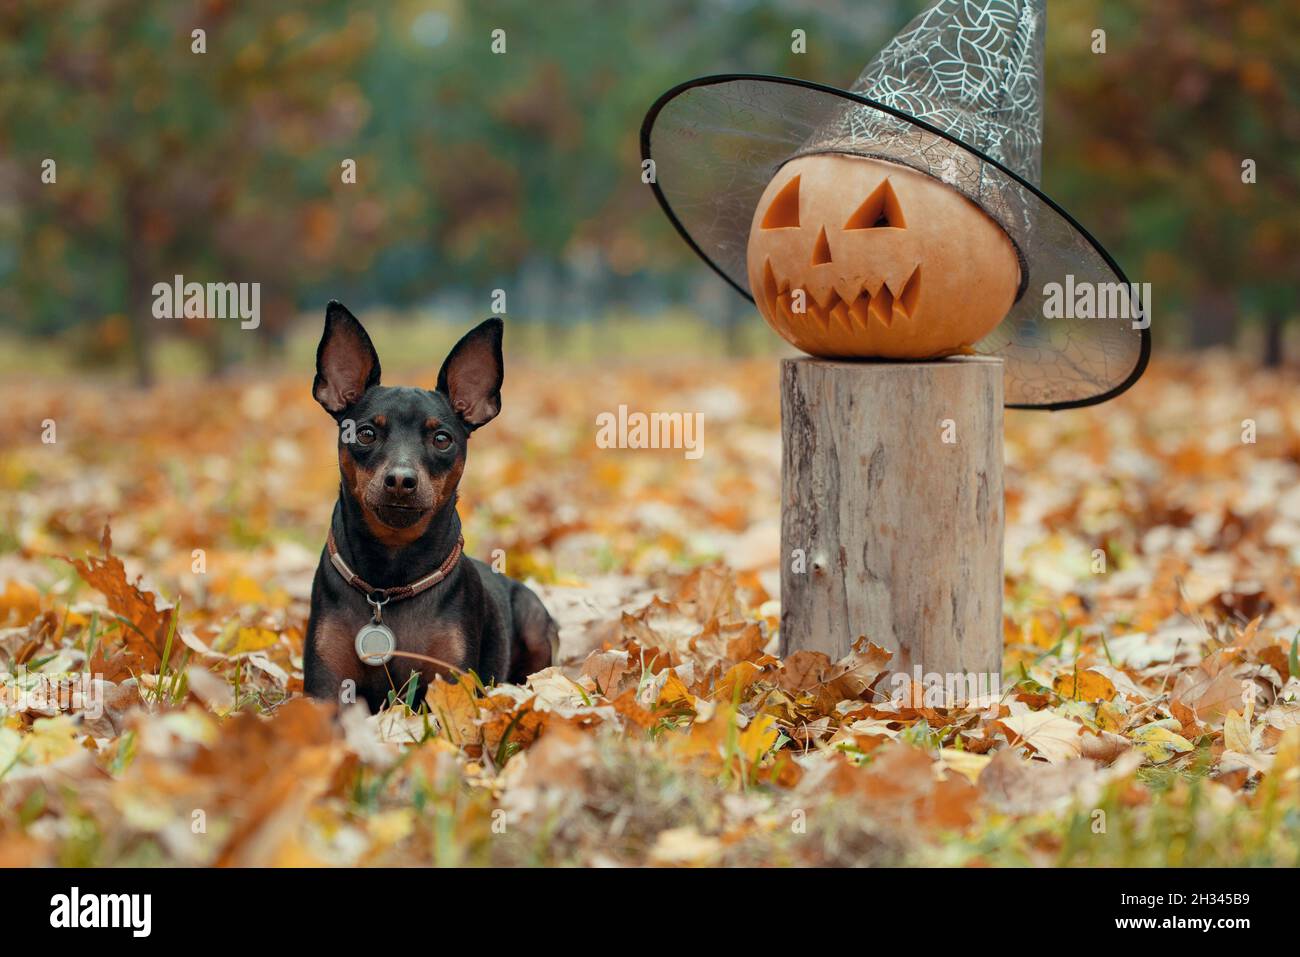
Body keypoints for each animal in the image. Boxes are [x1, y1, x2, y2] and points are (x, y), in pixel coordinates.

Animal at [306, 299, 556, 712]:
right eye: (366, 433)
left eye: (442, 439)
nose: (400, 480)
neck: (387, 584)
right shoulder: (326, 687)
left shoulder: (448, 681)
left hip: (534, 620)